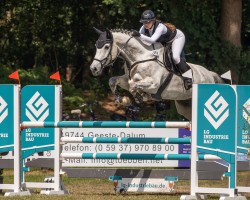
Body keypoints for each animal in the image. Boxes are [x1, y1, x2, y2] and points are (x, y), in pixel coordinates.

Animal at [90, 28, 225, 119]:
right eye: (96, 46)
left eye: (106, 46)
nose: (94, 68)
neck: (141, 57)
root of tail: (210, 74)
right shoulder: (126, 79)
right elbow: (114, 80)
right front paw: (121, 99)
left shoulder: (153, 84)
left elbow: (134, 86)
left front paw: (139, 97)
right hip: (185, 105)